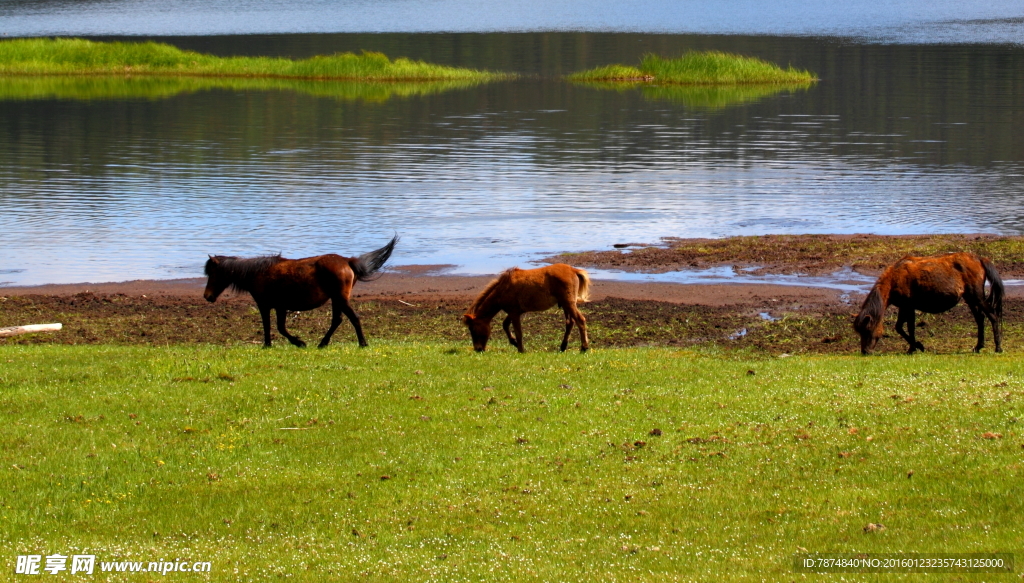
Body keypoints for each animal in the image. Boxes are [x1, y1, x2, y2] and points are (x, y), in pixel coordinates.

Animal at [460, 262, 589, 352]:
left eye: (472, 329)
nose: (478, 349)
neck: (503, 289)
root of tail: (573, 270)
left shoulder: (514, 313)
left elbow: (518, 332)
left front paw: (521, 350)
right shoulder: (514, 312)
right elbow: (505, 325)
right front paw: (514, 342)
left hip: (569, 304)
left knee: (580, 320)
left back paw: (584, 347)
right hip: (565, 305)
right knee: (570, 323)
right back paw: (563, 347)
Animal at [851, 251, 1003, 354]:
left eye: (867, 330)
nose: (865, 351)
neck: (894, 279)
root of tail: (980, 259)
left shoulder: (909, 306)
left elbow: (909, 327)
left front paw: (915, 347)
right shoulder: (903, 306)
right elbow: (899, 327)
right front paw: (916, 346)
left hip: (977, 296)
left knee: (992, 316)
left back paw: (998, 347)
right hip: (970, 298)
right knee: (980, 319)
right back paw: (978, 346)